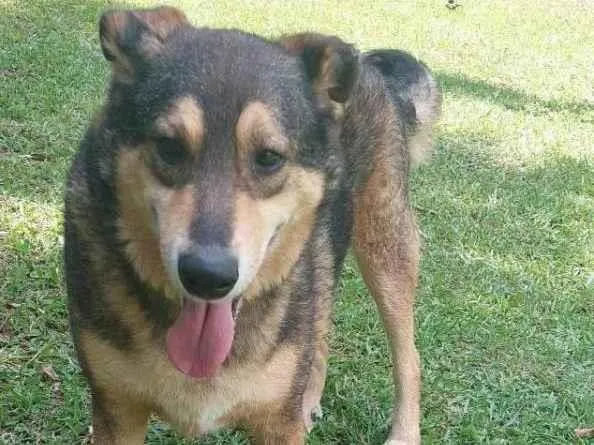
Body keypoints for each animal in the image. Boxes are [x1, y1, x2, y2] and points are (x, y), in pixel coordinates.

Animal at [64, 6, 441, 444]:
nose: (207, 276)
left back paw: (403, 430)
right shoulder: (116, 411)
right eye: (169, 147)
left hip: (386, 245)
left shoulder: (277, 424)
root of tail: (370, 65)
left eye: (269, 157)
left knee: (408, 355)